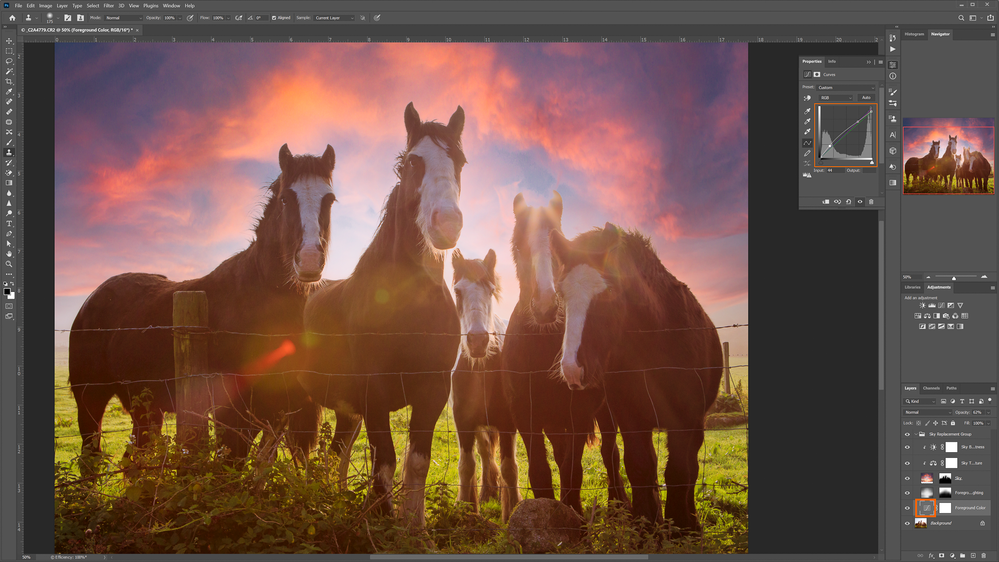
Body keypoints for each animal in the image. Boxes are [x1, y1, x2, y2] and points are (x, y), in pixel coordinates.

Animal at [70, 143, 338, 464]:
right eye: (286, 198)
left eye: (330, 200)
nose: (309, 260)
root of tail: (92, 300)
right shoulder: (231, 414)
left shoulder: (281, 410)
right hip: (90, 400)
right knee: (91, 459)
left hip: (145, 406)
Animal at [298, 103, 466, 528]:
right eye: (412, 162)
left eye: (459, 162)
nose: (447, 224)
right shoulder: (374, 392)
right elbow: (386, 460)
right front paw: (381, 517)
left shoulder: (433, 390)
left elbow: (416, 461)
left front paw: (413, 525)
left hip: (345, 412)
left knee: (333, 457)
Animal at [450, 247, 520, 520]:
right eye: (458, 291)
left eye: (490, 290)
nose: (478, 341)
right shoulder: (463, 422)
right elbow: (466, 466)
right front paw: (466, 507)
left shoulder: (508, 423)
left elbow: (510, 468)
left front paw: (512, 511)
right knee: (485, 451)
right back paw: (486, 492)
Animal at [504, 192, 628, 516]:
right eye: (517, 245)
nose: (546, 306)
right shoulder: (525, 414)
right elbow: (541, 472)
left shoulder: (579, 414)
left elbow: (574, 471)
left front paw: (575, 515)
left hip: (605, 413)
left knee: (610, 452)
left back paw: (619, 503)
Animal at [552, 221, 724, 532]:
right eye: (561, 295)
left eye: (608, 292)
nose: (572, 369)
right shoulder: (631, 418)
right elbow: (640, 465)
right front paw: (645, 525)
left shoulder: (686, 420)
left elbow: (680, 470)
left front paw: (682, 527)